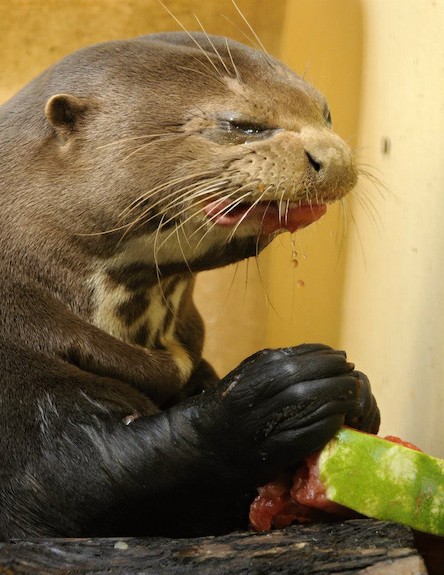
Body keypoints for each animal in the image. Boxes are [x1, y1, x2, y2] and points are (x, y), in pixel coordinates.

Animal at [0, 33, 378, 540]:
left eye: (326, 112)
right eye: (242, 125)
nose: (333, 157)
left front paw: (361, 395)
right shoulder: (24, 398)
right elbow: (84, 476)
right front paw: (270, 397)